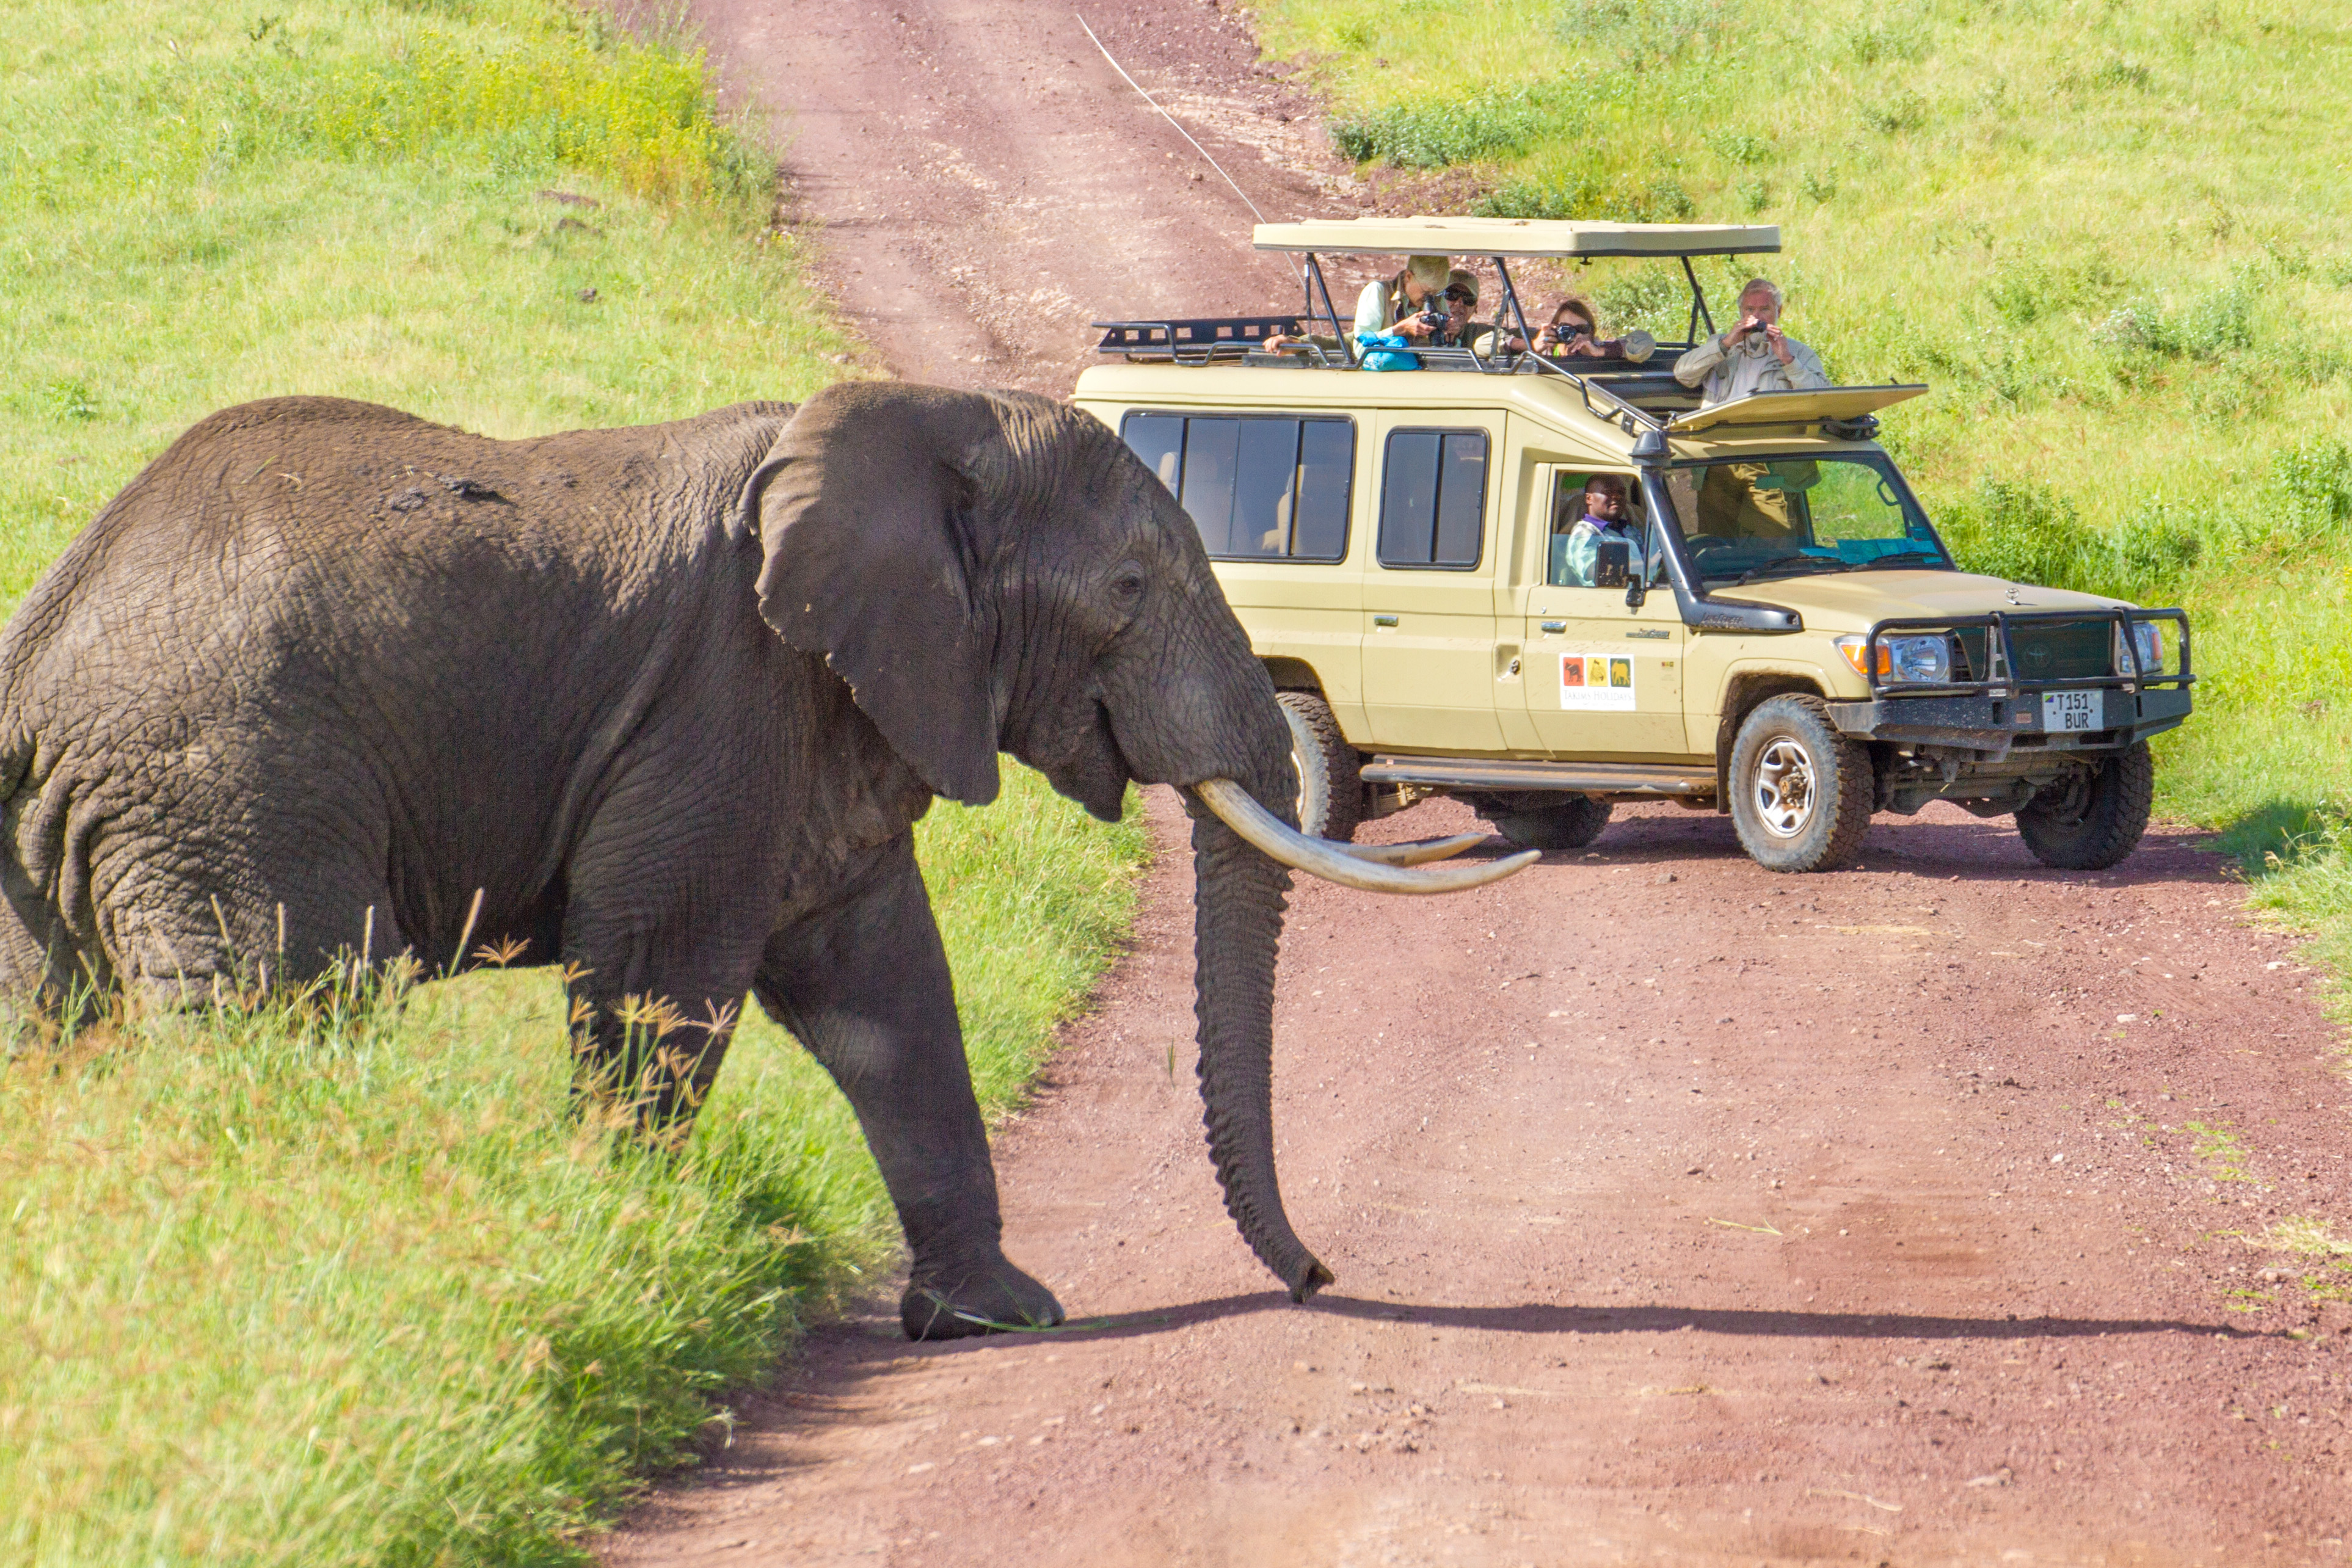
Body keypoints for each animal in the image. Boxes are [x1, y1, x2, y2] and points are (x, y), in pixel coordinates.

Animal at [0, 380, 1524, 1335]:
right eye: (1130, 592)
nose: (1318, 1277)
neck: (918, 419)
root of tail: (40, 653)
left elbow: (888, 994)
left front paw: (994, 1316)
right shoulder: (728, 701)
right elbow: (659, 975)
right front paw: (623, 1255)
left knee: (54, 1021)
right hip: (225, 787)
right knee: (278, 1014)